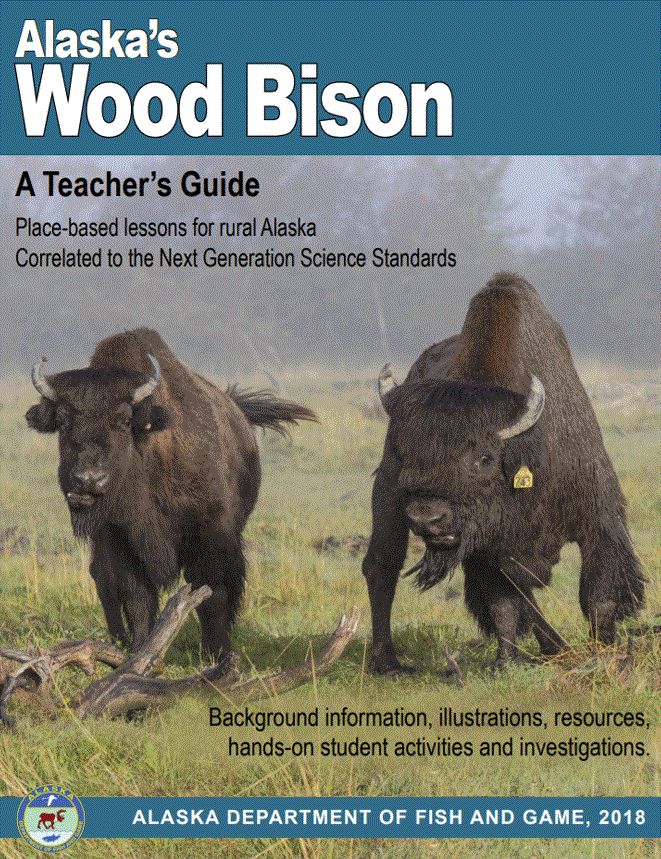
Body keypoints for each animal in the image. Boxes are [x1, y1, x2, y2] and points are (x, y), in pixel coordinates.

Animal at [26, 328, 317, 662]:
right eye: (61, 421)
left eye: (124, 420)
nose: (88, 480)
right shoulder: (119, 539)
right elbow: (137, 596)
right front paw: (139, 650)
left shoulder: (209, 533)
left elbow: (212, 592)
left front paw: (219, 654)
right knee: (102, 581)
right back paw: (118, 639)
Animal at [363, 273, 645, 673]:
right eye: (404, 454)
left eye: (484, 458)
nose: (428, 519)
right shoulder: (490, 547)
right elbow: (504, 604)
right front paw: (504, 662)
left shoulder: (598, 519)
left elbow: (598, 596)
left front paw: (605, 650)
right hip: (387, 498)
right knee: (381, 568)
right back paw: (388, 663)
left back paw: (555, 647)